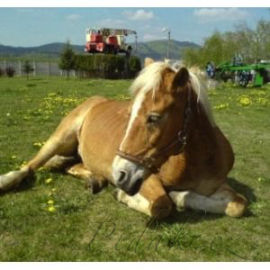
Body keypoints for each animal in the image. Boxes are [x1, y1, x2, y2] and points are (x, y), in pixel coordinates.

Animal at [0, 61, 247, 219]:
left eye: (154, 117)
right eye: (129, 113)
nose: (119, 174)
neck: (197, 159)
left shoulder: (217, 185)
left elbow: (238, 205)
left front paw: (181, 196)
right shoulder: (146, 177)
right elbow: (162, 206)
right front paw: (125, 195)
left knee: (72, 165)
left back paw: (95, 179)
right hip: (61, 137)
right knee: (32, 164)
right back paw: (8, 180)